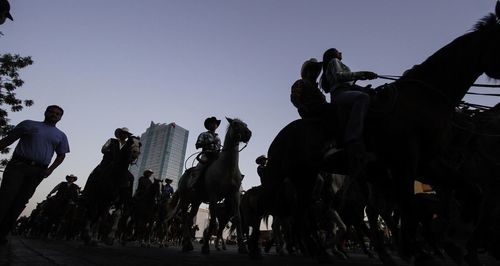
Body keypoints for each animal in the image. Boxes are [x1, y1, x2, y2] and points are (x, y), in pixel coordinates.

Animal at [169, 118, 252, 254]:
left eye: (245, 124)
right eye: (235, 124)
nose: (248, 133)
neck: (226, 168)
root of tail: (183, 177)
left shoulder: (234, 195)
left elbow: (238, 219)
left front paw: (243, 247)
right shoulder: (213, 196)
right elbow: (213, 220)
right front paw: (205, 247)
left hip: (196, 202)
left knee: (189, 219)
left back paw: (189, 244)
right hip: (185, 200)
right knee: (185, 219)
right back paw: (186, 244)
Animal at [256, 2, 500, 262]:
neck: (421, 98)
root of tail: (279, 137)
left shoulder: (428, 163)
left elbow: (471, 193)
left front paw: (455, 242)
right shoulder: (405, 162)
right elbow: (409, 207)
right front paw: (421, 251)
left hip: (306, 177)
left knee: (302, 219)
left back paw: (322, 254)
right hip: (279, 175)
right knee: (272, 211)